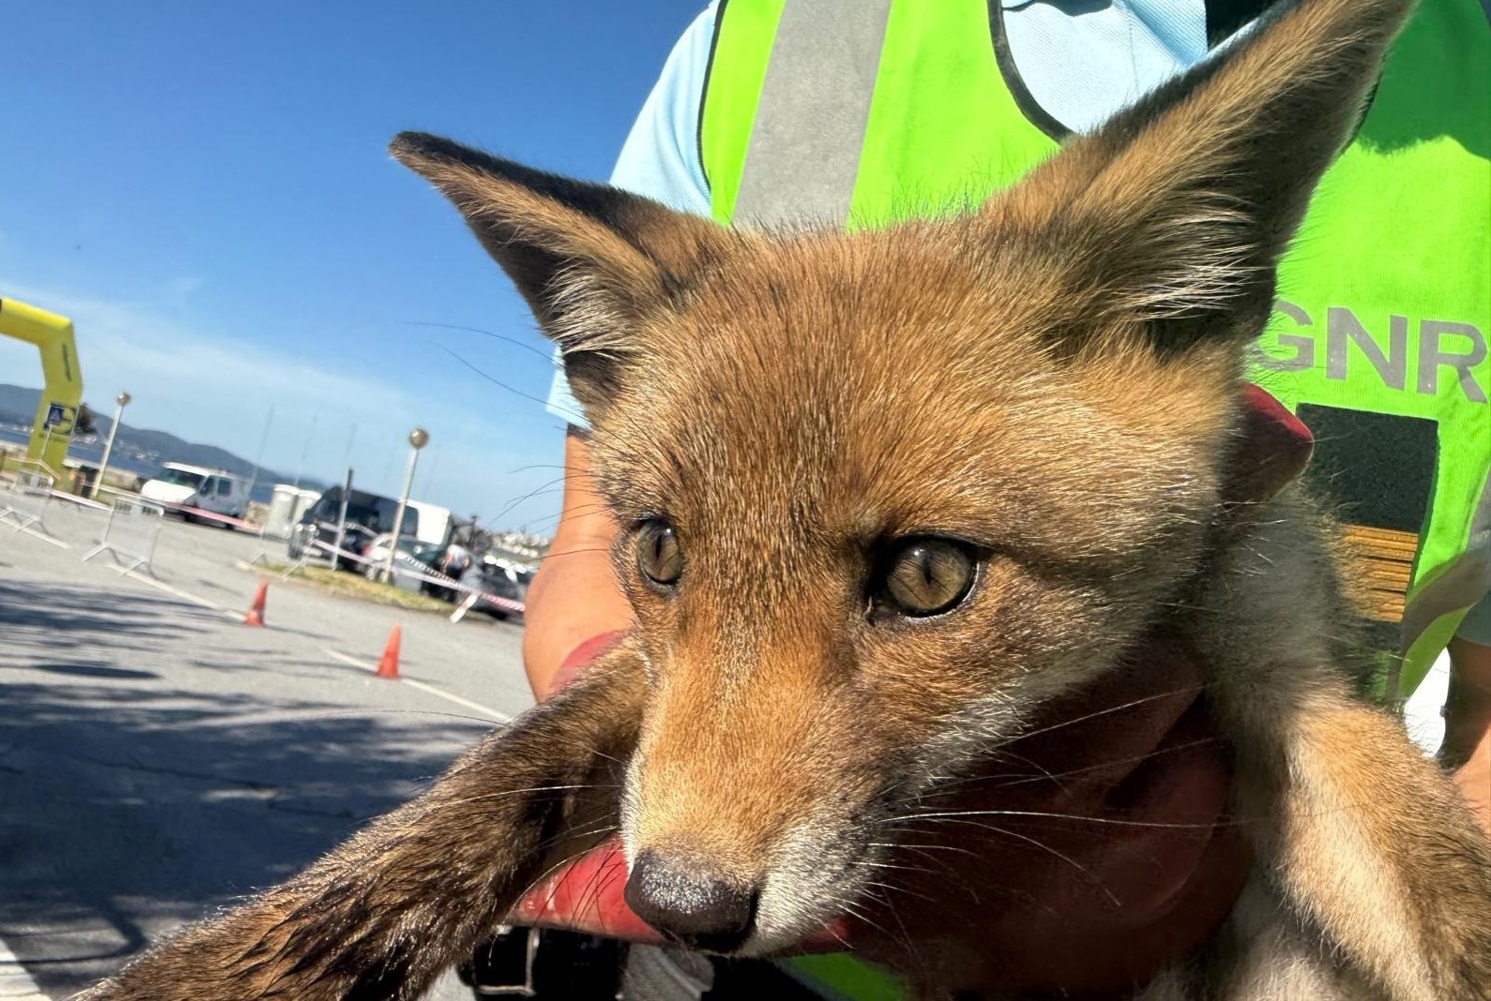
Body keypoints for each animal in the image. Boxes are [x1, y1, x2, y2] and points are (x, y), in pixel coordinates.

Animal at [76, 0, 1491, 998]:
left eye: (928, 575)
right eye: (658, 552)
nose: (680, 904)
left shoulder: (1290, 675)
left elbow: (1441, 890)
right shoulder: (654, 681)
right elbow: (501, 776)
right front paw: (248, 961)